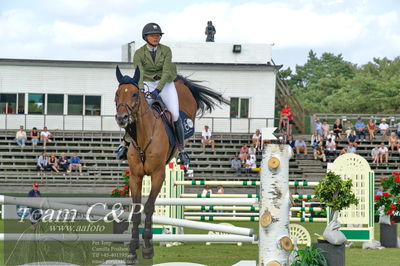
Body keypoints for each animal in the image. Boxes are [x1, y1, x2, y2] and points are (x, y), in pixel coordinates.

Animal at [114, 66, 230, 264]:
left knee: (179, 120)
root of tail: (180, 81)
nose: (122, 118)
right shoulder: (136, 177)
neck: (143, 136)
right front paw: (132, 249)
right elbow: (137, 210)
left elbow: (149, 207)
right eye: (117, 94)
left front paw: (147, 247)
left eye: (135, 94)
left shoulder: (158, 175)